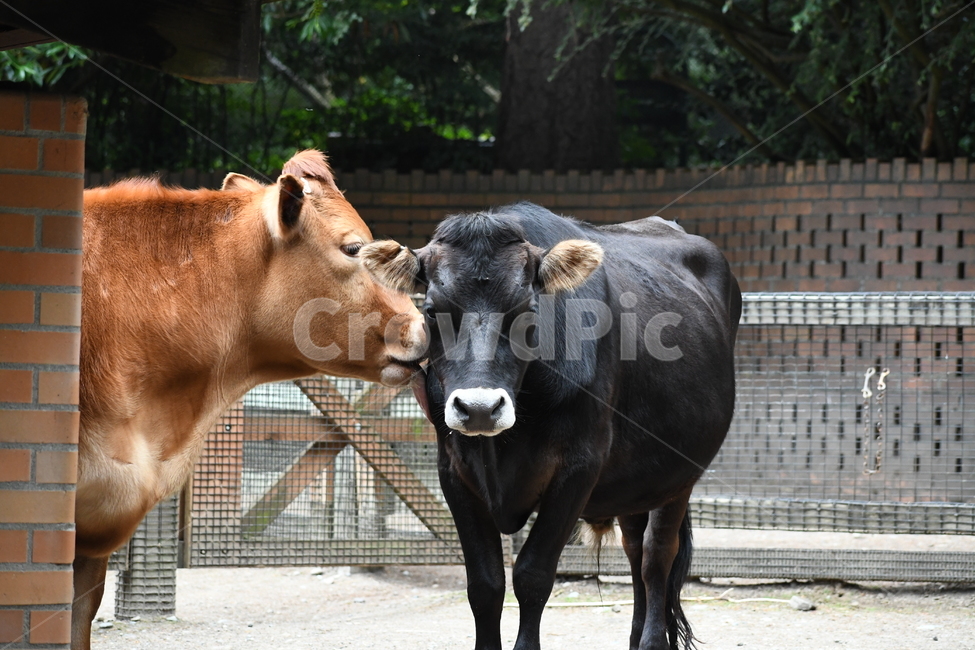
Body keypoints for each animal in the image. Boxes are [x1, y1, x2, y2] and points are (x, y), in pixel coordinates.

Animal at [361, 202, 741, 650]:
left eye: (527, 308)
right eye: (432, 310)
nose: (479, 408)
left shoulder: (579, 468)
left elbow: (533, 575)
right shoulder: (453, 471)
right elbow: (485, 584)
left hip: (678, 475)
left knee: (655, 556)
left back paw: (651, 640)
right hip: (636, 480)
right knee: (634, 550)